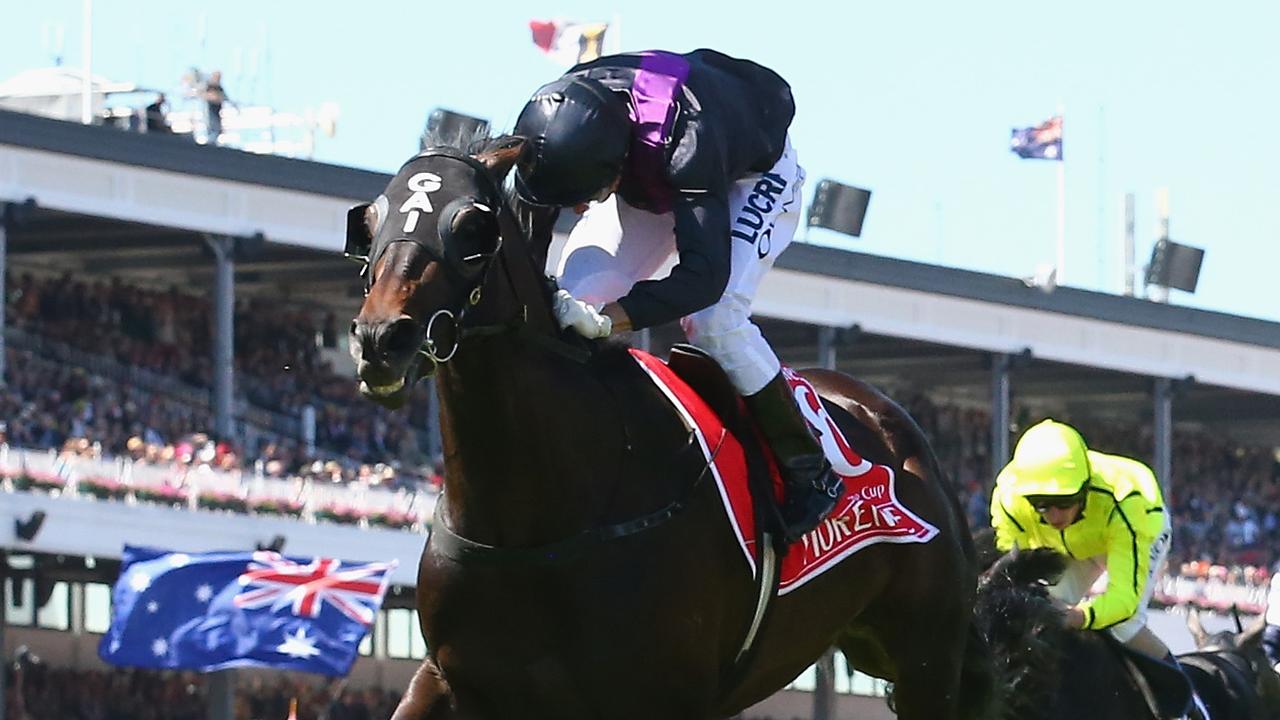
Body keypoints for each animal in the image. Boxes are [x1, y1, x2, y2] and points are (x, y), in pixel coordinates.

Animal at [348, 134, 988, 717]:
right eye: (370, 222)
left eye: (469, 226)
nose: (381, 338)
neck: (534, 520)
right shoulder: (451, 677)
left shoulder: (664, 693)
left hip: (927, 658)